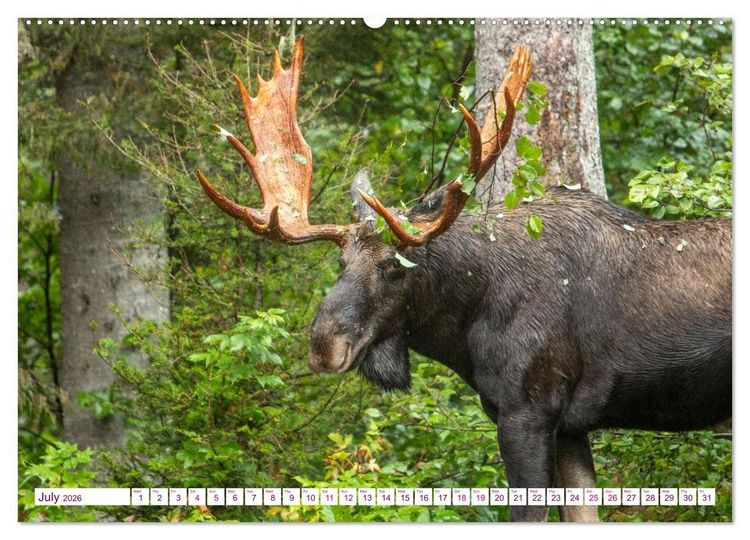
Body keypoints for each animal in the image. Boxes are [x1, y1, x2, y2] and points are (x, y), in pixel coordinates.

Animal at [196, 37, 732, 522]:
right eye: (340, 263)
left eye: (396, 266)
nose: (324, 346)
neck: (466, 326)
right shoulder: (570, 428)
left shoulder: (526, 412)